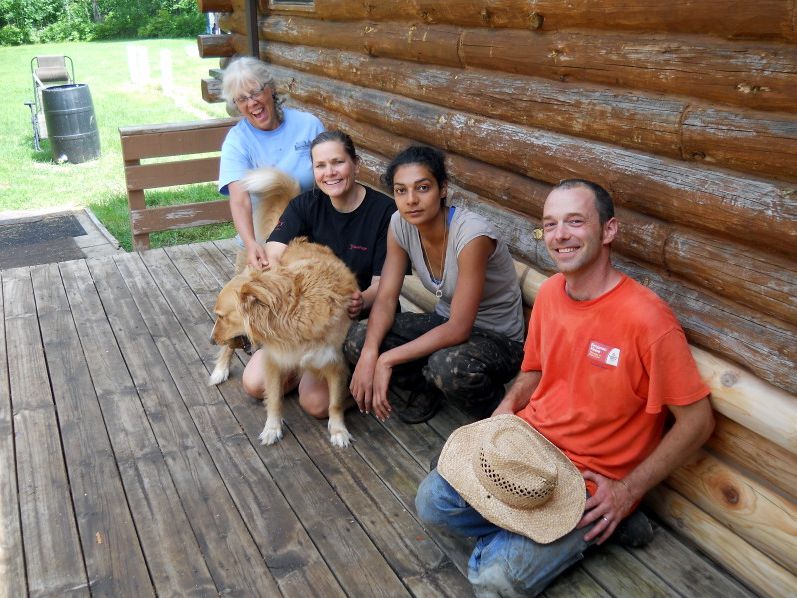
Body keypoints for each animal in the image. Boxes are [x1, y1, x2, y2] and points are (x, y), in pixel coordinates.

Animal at [211, 237, 360, 448]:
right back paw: (220, 370)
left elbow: (335, 403)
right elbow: (274, 398)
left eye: (221, 316)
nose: (211, 340)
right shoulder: (274, 360)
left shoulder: (335, 362)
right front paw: (272, 429)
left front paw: (339, 431)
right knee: (229, 347)